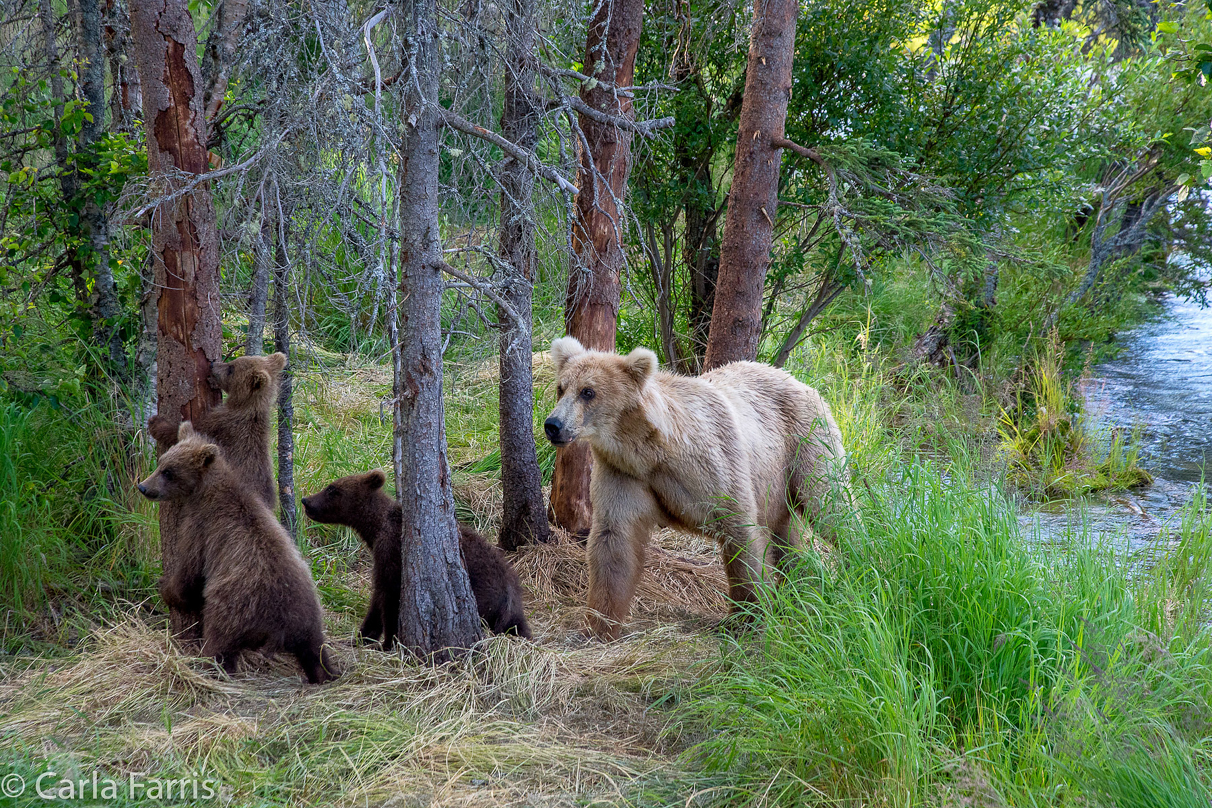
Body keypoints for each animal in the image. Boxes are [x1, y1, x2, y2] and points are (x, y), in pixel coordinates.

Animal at [545, 339, 848, 639]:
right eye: (561, 387)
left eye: (588, 392)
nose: (553, 425)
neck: (649, 450)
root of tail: (800, 381)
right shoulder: (624, 474)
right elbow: (614, 540)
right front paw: (598, 625)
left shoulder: (712, 463)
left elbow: (740, 531)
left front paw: (749, 617)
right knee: (786, 533)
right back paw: (800, 586)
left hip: (805, 444)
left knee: (832, 508)